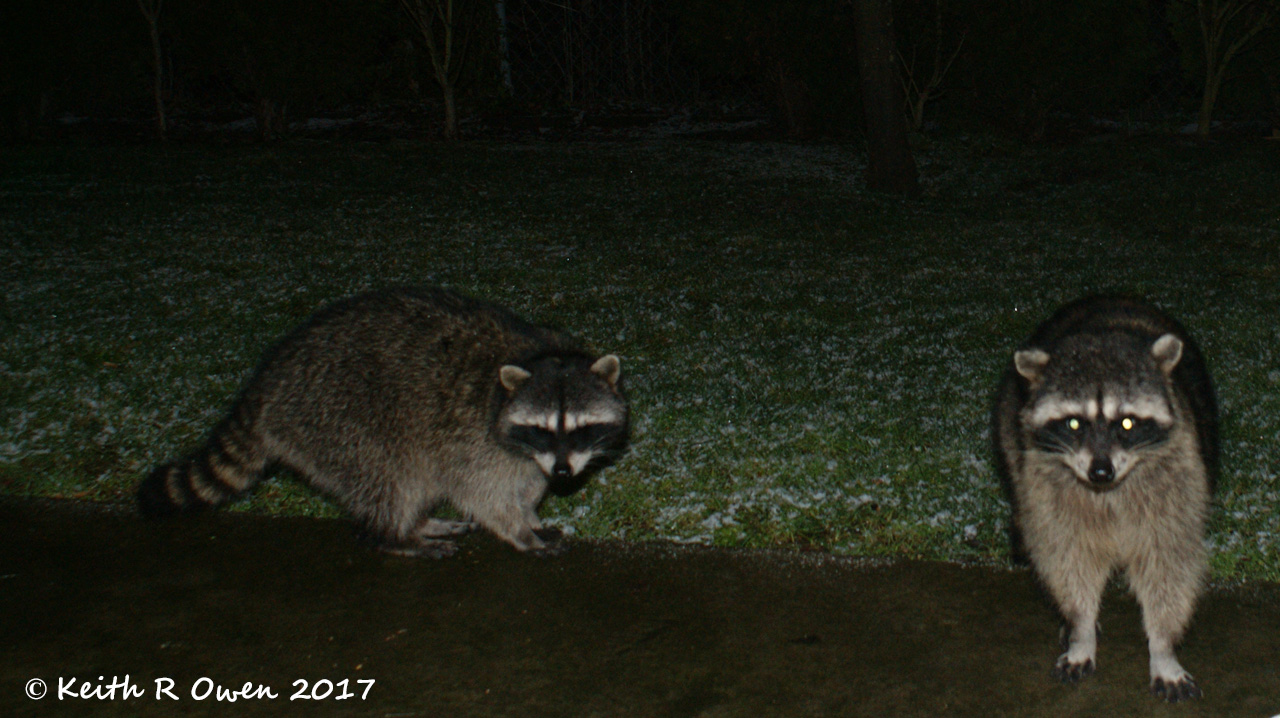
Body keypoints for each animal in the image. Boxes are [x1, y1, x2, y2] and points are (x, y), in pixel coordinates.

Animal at [137, 287, 629, 557]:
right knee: (391, 476)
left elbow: (528, 481)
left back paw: (415, 523)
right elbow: (480, 491)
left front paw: (530, 510)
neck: (536, 356)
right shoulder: (472, 436)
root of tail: (266, 385)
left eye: (581, 428)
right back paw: (395, 534)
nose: (563, 472)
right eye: (542, 429)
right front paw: (518, 528)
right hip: (335, 418)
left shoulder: (526, 452)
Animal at [993, 296, 1217, 702]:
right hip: (1008, 425)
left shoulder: (1178, 480)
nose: (1101, 472)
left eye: (1126, 423)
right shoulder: (1049, 486)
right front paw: (1081, 628)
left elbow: (1169, 564)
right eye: (1074, 423)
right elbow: (1067, 557)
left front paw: (1163, 647)